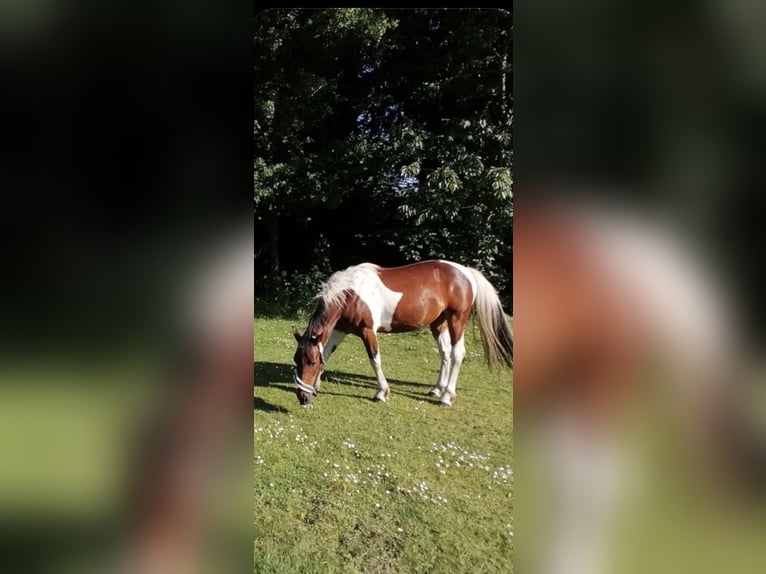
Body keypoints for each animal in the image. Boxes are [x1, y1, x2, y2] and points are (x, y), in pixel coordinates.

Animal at [291, 260, 513, 406]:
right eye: (296, 360)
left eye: (310, 362)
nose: (302, 397)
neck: (351, 293)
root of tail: (466, 271)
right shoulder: (340, 329)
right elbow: (327, 353)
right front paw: (316, 385)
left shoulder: (367, 331)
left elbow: (375, 360)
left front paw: (381, 393)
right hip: (438, 323)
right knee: (445, 353)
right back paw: (436, 389)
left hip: (457, 319)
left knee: (458, 354)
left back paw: (446, 397)